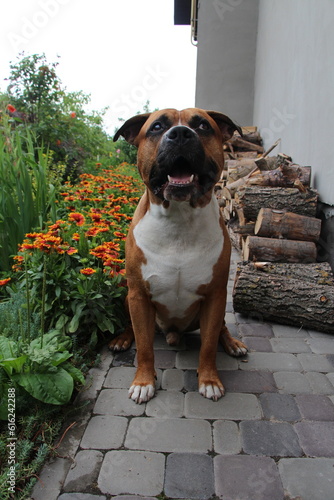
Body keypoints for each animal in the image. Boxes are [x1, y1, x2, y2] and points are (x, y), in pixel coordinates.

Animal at [108, 108, 247, 402]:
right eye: (157, 127)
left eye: (203, 126)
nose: (181, 134)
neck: (179, 219)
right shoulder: (138, 295)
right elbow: (144, 347)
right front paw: (143, 381)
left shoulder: (216, 296)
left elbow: (208, 345)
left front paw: (209, 380)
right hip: (127, 297)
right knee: (133, 328)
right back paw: (122, 339)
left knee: (221, 328)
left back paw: (232, 343)